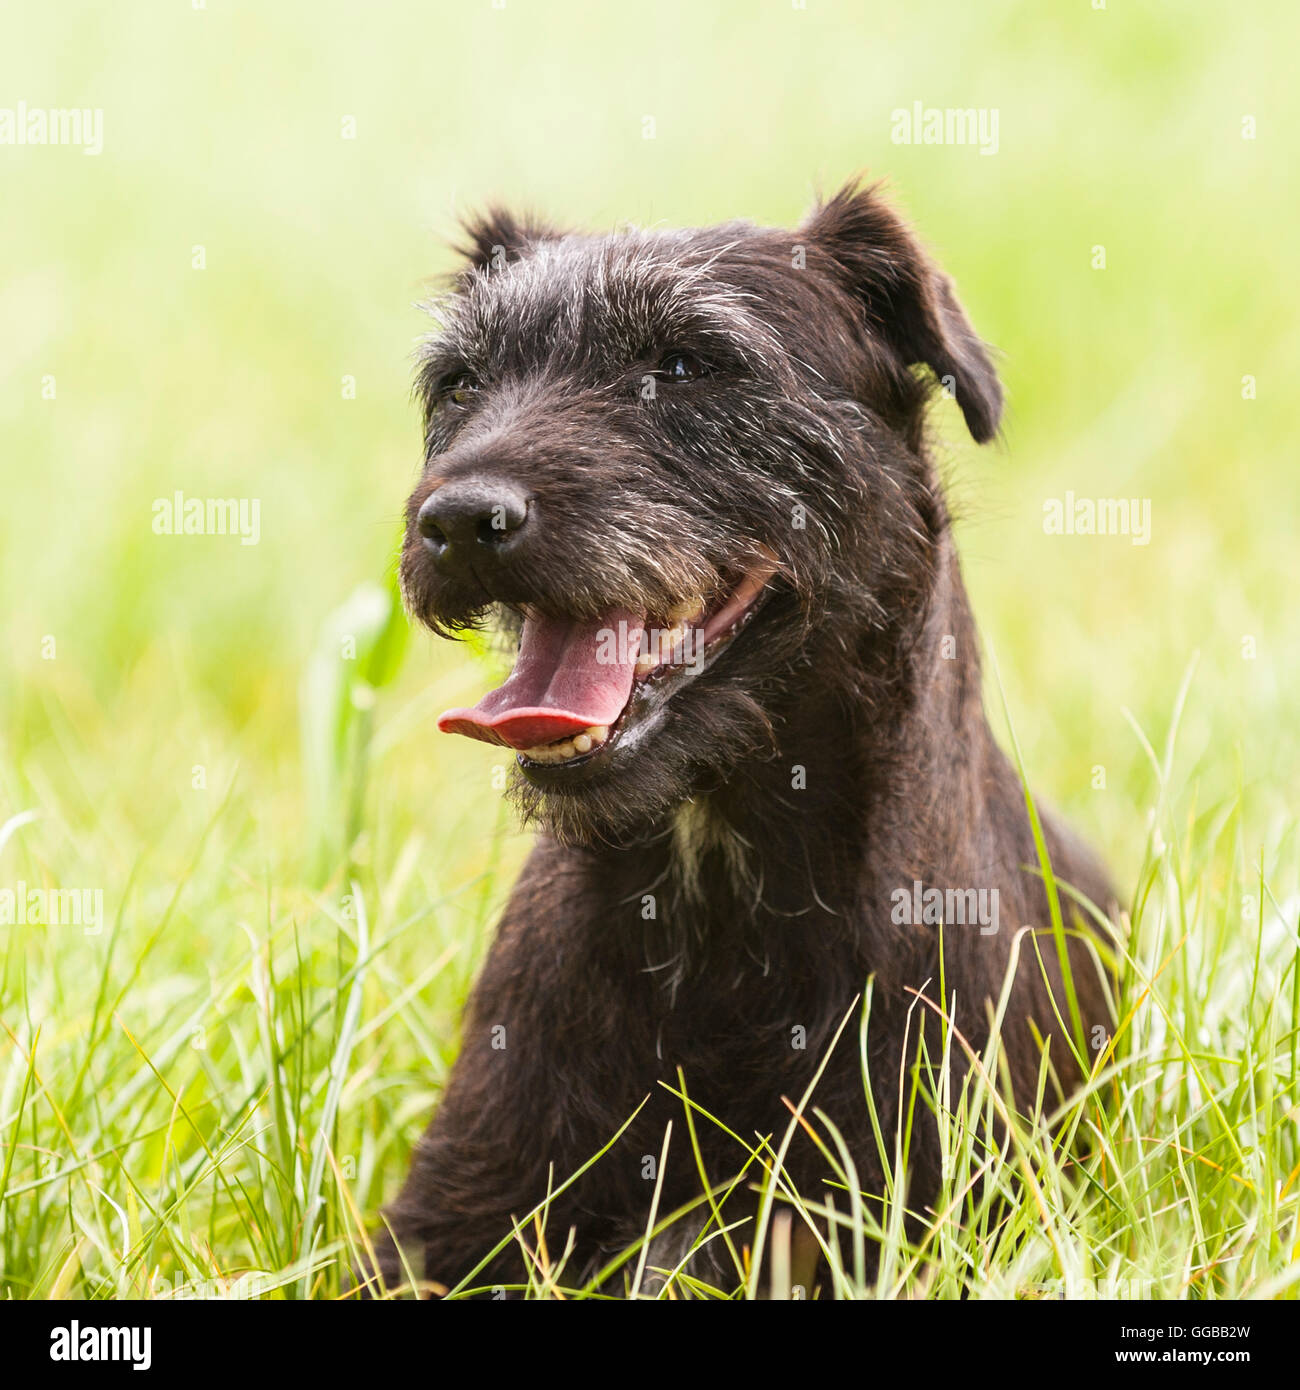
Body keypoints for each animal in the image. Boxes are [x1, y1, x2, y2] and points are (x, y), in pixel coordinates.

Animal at [375, 179, 1117, 1295]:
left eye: (686, 364)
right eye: (460, 383)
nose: (460, 519)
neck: (711, 883)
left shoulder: (886, 1223)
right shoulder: (438, 1225)